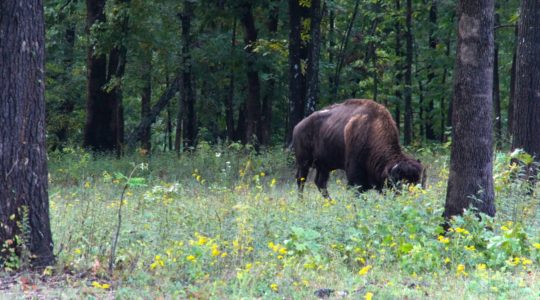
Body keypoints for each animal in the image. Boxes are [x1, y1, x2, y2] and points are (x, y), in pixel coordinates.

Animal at [292, 98, 426, 198]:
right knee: (301, 180)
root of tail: (298, 126)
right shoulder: (355, 176)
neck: (372, 128)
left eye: (420, 183)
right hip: (304, 162)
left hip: (324, 165)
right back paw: (302, 202)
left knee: (320, 183)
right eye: (399, 184)